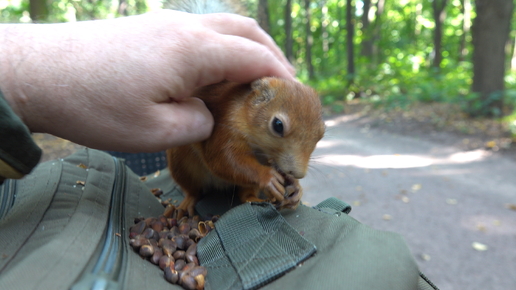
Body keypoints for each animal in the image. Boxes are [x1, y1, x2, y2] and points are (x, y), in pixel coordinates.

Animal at [167, 77, 324, 215]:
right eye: (278, 125)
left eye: (322, 133)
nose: (299, 174)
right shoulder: (226, 125)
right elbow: (224, 158)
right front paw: (267, 177)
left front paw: (296, 187)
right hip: (182, 164)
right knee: (193, 190)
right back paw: (188, 202)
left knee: (245, 195)